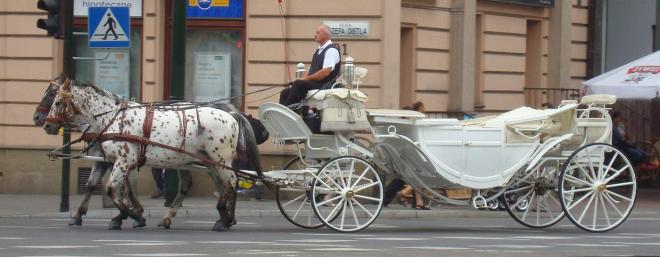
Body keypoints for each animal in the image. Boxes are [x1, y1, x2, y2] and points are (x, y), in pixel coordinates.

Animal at [42, 78, 266, 230]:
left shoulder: (123, 161)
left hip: (220, 159)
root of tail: (232, 115)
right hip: (206, 161)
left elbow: (112, 189)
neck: (112, 119)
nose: (46, 125)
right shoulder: (115, 161)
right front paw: (124, 215)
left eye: (57, 101)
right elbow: (106, 187)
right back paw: (220, 217)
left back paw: (225, 220)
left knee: (231, 183)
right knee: (218, 185)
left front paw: (130, 214)